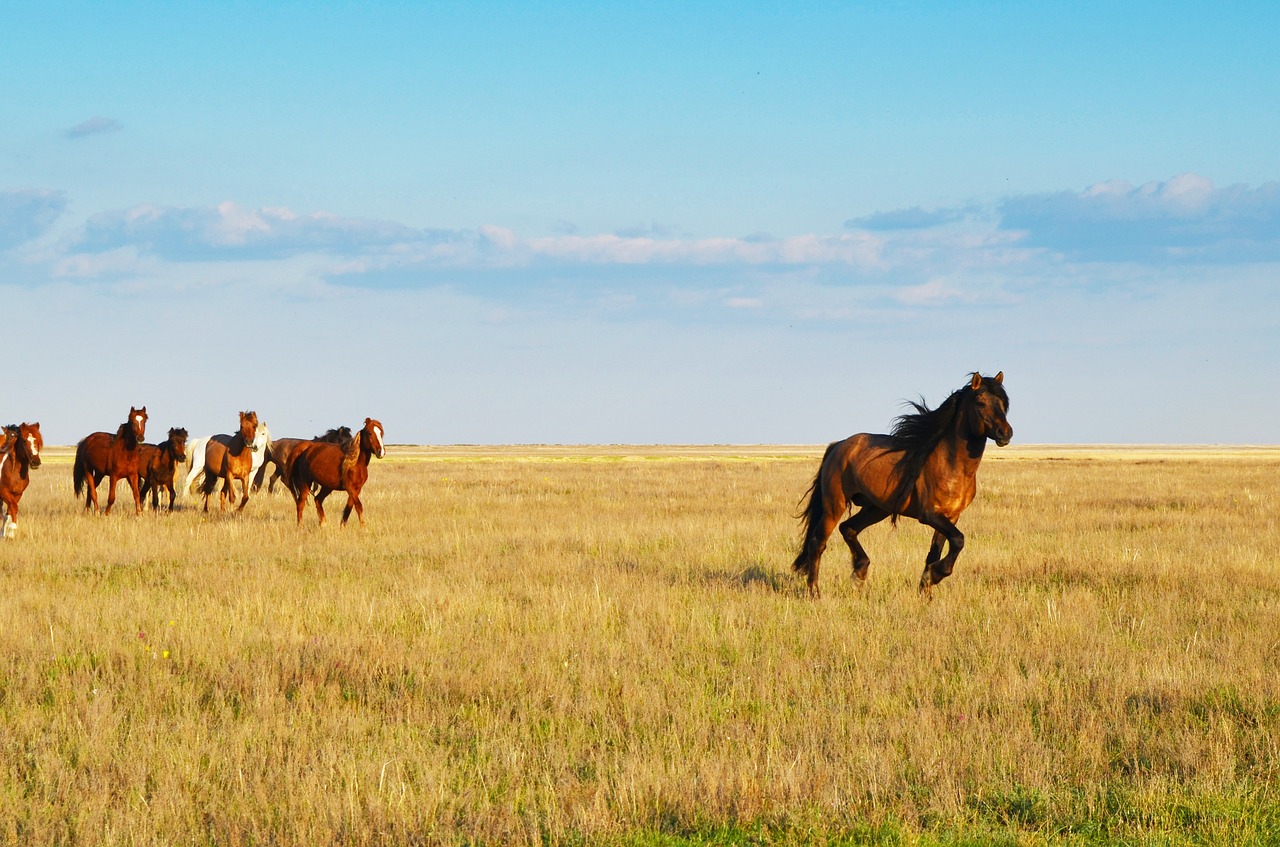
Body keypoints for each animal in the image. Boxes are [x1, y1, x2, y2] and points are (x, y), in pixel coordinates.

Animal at [788, 373, 1008, 603]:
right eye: (981, 403)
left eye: (1003, 404)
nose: (1005, 433)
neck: (950, 464)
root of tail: (838, 445)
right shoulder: (930, 515)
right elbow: (958, 540)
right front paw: (936, 576)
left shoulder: (951, 516)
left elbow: (935, 553)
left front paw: (926, 590)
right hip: (834, 505)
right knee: (818, 543)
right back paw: (814, 592)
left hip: (877, 509)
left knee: (848, 528)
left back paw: (859, 572)